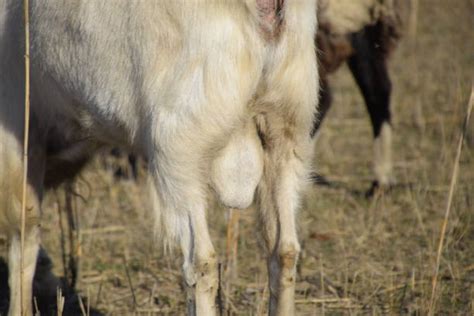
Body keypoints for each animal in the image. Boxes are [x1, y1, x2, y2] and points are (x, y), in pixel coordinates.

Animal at [0, 1, 318, 314]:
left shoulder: (17, 124)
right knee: (284, 250)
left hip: (179, 149)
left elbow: (24, 236)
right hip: (287, 133)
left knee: (201, 262)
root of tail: (267, 12)